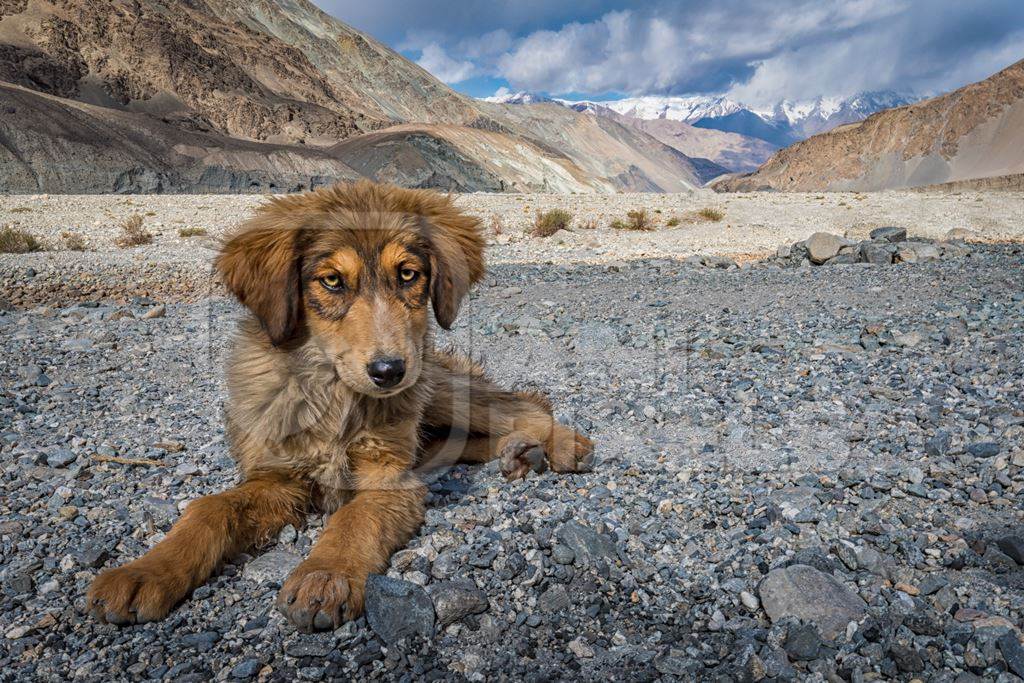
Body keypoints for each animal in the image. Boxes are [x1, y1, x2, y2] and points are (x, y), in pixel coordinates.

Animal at [89, 180, 598, 630]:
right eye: (332, 281)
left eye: (408, 274)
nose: (389, 372)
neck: (334, 398)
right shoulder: (277, 477)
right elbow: (210, 509)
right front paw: (145, 572)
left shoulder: (389, 478)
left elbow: (354, 519)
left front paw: (326, 574)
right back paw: (518, 454)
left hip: (438, 387)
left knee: (525, 405)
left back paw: (560, 445)